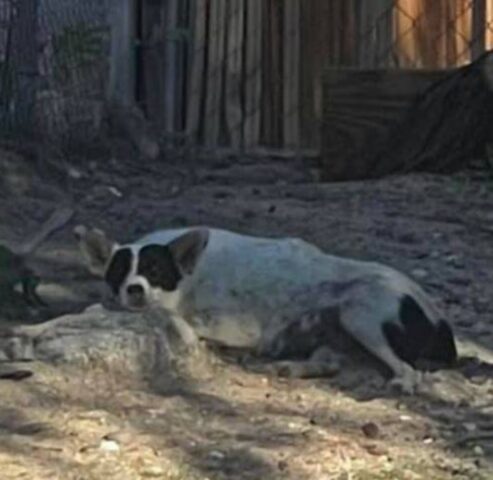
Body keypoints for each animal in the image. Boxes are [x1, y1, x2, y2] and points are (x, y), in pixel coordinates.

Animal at [74, 225, 458, 394]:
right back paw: (289, 366)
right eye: (119, 273)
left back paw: (401, 382)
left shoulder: (231, 326)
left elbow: (183, 321)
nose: (134, 290)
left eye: (156, 271)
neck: (189, 278)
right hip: (337, 331)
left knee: (409, 370)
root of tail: (440, 319)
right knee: (330, 362)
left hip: (360, 314)